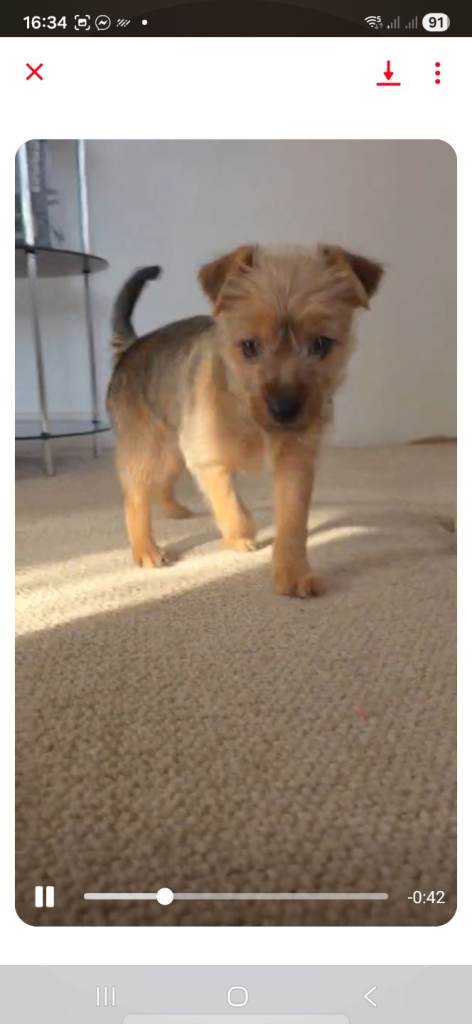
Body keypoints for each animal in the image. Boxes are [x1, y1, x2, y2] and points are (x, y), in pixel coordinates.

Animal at [107, 244, 383, 596]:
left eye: (321, 344)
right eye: (249, 346)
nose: (284, 409)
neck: (250, 416)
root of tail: (131, 347)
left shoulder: (296, 461)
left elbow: (293, 522)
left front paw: (293, 572)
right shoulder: (210, 461)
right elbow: (231, 505)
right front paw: (241, 536)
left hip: (172, 449)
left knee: (162, 481)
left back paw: (173, 510)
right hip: (143, 447)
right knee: (136, 498)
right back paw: (146, 550)